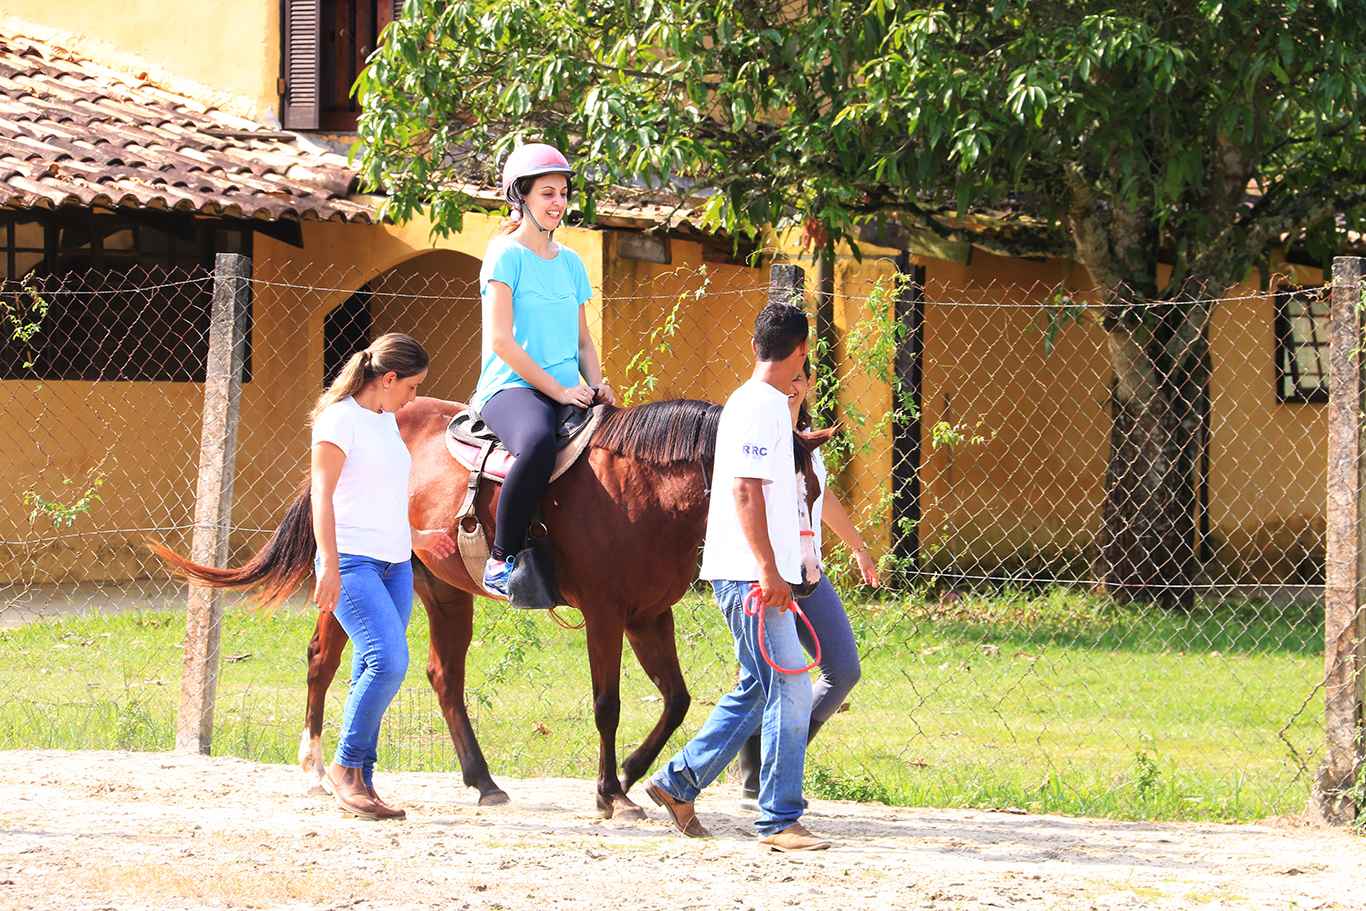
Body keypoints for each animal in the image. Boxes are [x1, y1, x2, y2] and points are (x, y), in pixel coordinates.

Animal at [155, 396, 825, 814]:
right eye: (777, 489)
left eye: (816, 491)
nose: (803, 581)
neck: (642, 490)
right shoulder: (606, 615)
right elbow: (607, 705)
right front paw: (610, 792)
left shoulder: (648, 616)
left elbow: (678, 699)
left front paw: (633, 773)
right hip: (348, 580)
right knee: (323, 658)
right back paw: (316, 768)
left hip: (444, 591)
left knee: (442, 677)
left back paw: (482, 782)